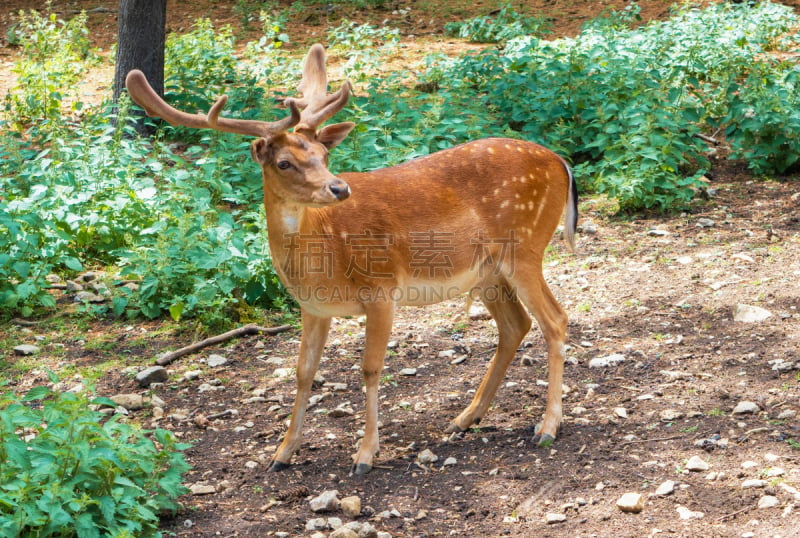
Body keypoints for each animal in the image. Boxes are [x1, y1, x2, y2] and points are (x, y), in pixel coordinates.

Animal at [125, 43, 580, 474]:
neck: (324, 257)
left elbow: (370, 368)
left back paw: (547, 426)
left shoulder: (382, 289)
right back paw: (465, 418)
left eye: (324, 156)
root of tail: (561, 162)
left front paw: (365, 454)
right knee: (516, 324)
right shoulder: (313, 307)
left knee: (555, 319)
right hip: (488, 273)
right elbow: (303, 372)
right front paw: (282, 452)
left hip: (525, 247)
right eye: (284, 162)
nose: (339, 188)